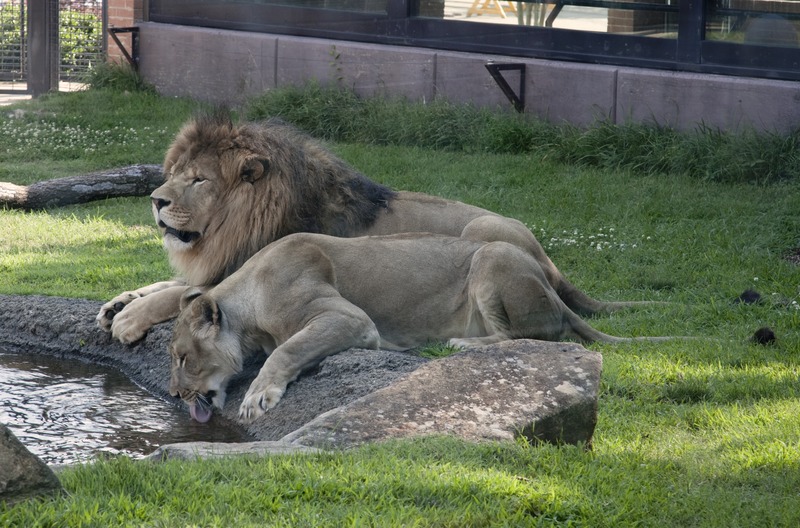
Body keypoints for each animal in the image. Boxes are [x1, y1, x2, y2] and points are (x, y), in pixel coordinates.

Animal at [97, 111, 652, 342]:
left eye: (198, 180)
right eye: (173, 173)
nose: (155, 200)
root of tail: (552, 265)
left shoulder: (244, 270)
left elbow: (178, 293)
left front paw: (131, 317)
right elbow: (166, 283)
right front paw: (118, 302)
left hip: (482, 235)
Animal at [169, 233, 668, 422]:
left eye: (182, 357)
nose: (174, 395)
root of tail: (552, 286)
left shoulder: (350, 319)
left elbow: (285, 350)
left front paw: (258, 396)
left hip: (491, 256)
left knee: (530, 335)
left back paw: (462, 343)